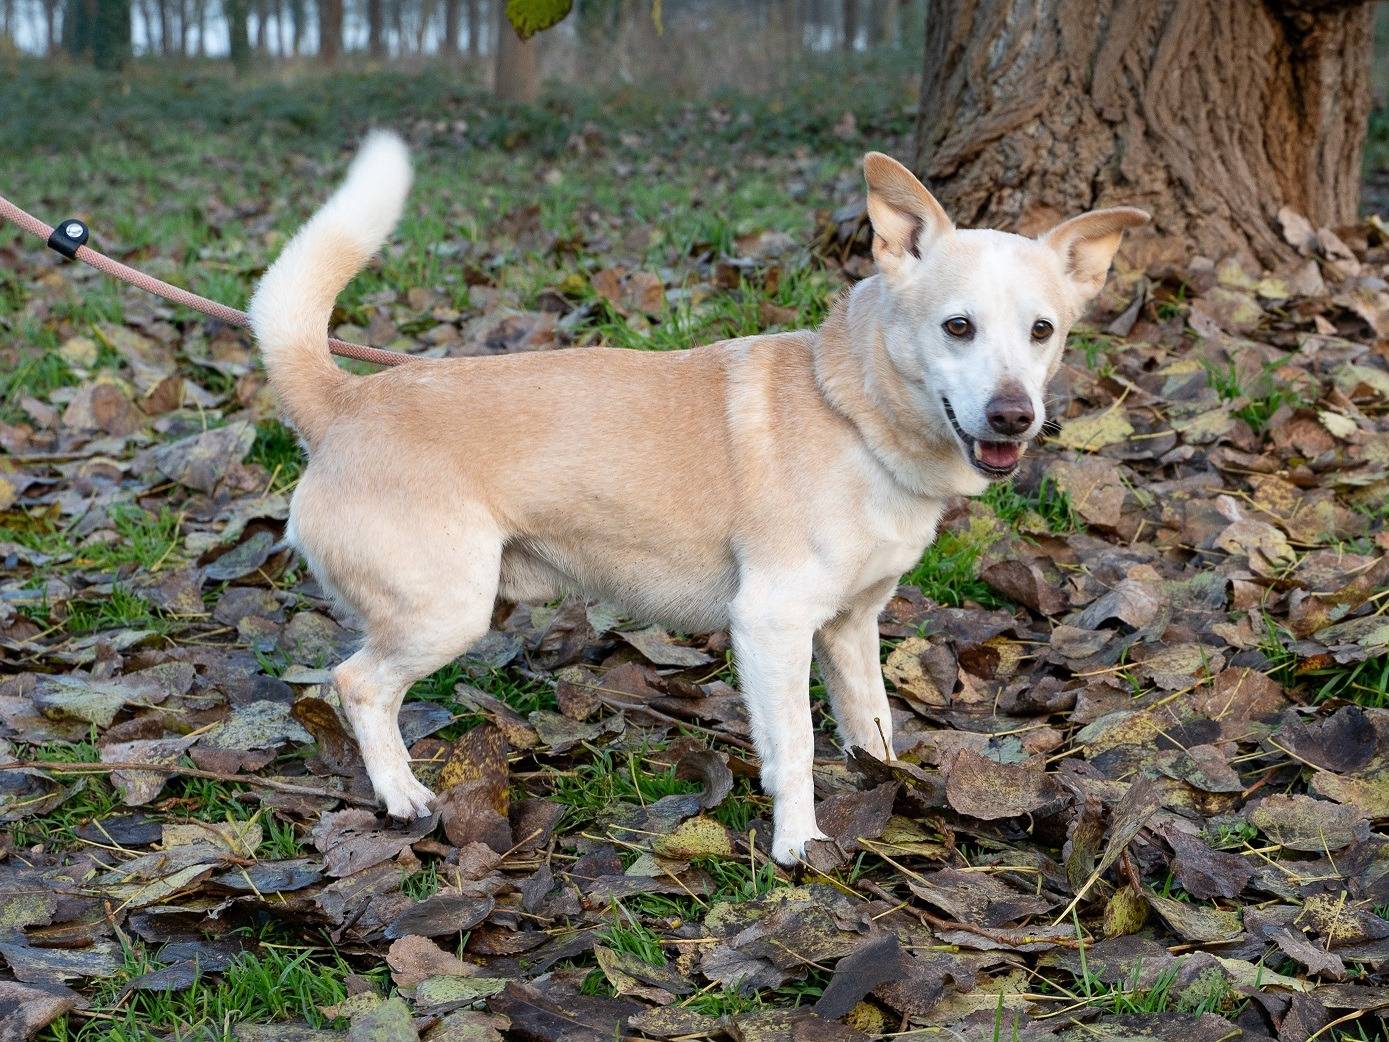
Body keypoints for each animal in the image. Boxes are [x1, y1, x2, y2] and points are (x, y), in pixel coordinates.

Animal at [252, 132, 1150, 866]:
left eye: (1042, 331)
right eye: (956, 327)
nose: (1013, 415)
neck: (851, 409)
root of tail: (343, 402)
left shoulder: (851, 626)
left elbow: (871, 723)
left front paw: (895, 789)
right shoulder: (771, 624)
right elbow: (795, 748)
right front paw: (799, 843)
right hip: (445, 613)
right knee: (356, 684)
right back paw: (399, 793)